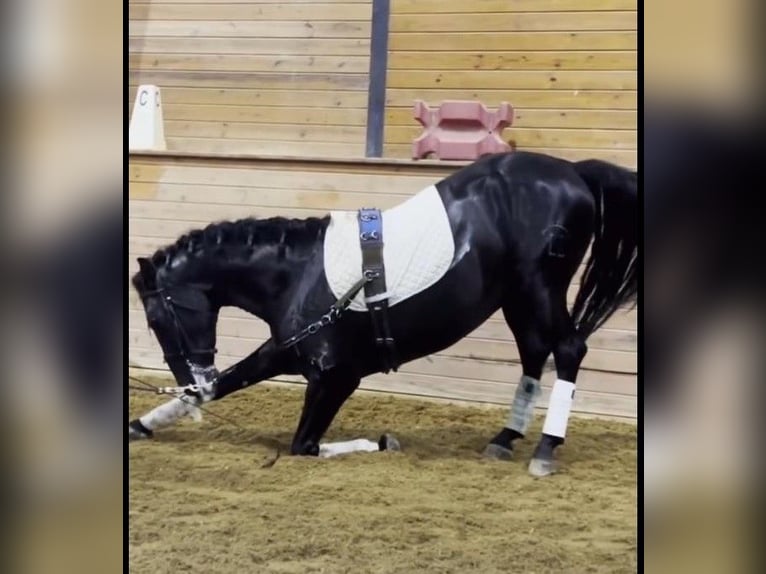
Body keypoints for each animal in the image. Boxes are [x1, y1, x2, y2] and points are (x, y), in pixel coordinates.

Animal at [129, 151, 637, 477]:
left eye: (156, 320)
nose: (191, 378)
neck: (298, 275)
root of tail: (571, 171)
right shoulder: (285, 352)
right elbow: (229, 383)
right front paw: (141, 425)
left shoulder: (335, 378)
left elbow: (302, 447)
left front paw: (381, 442)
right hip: (517, 298)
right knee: (535, 353)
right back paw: (504, 439)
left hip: (539, 288)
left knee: (567, 348)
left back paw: (546, 449)